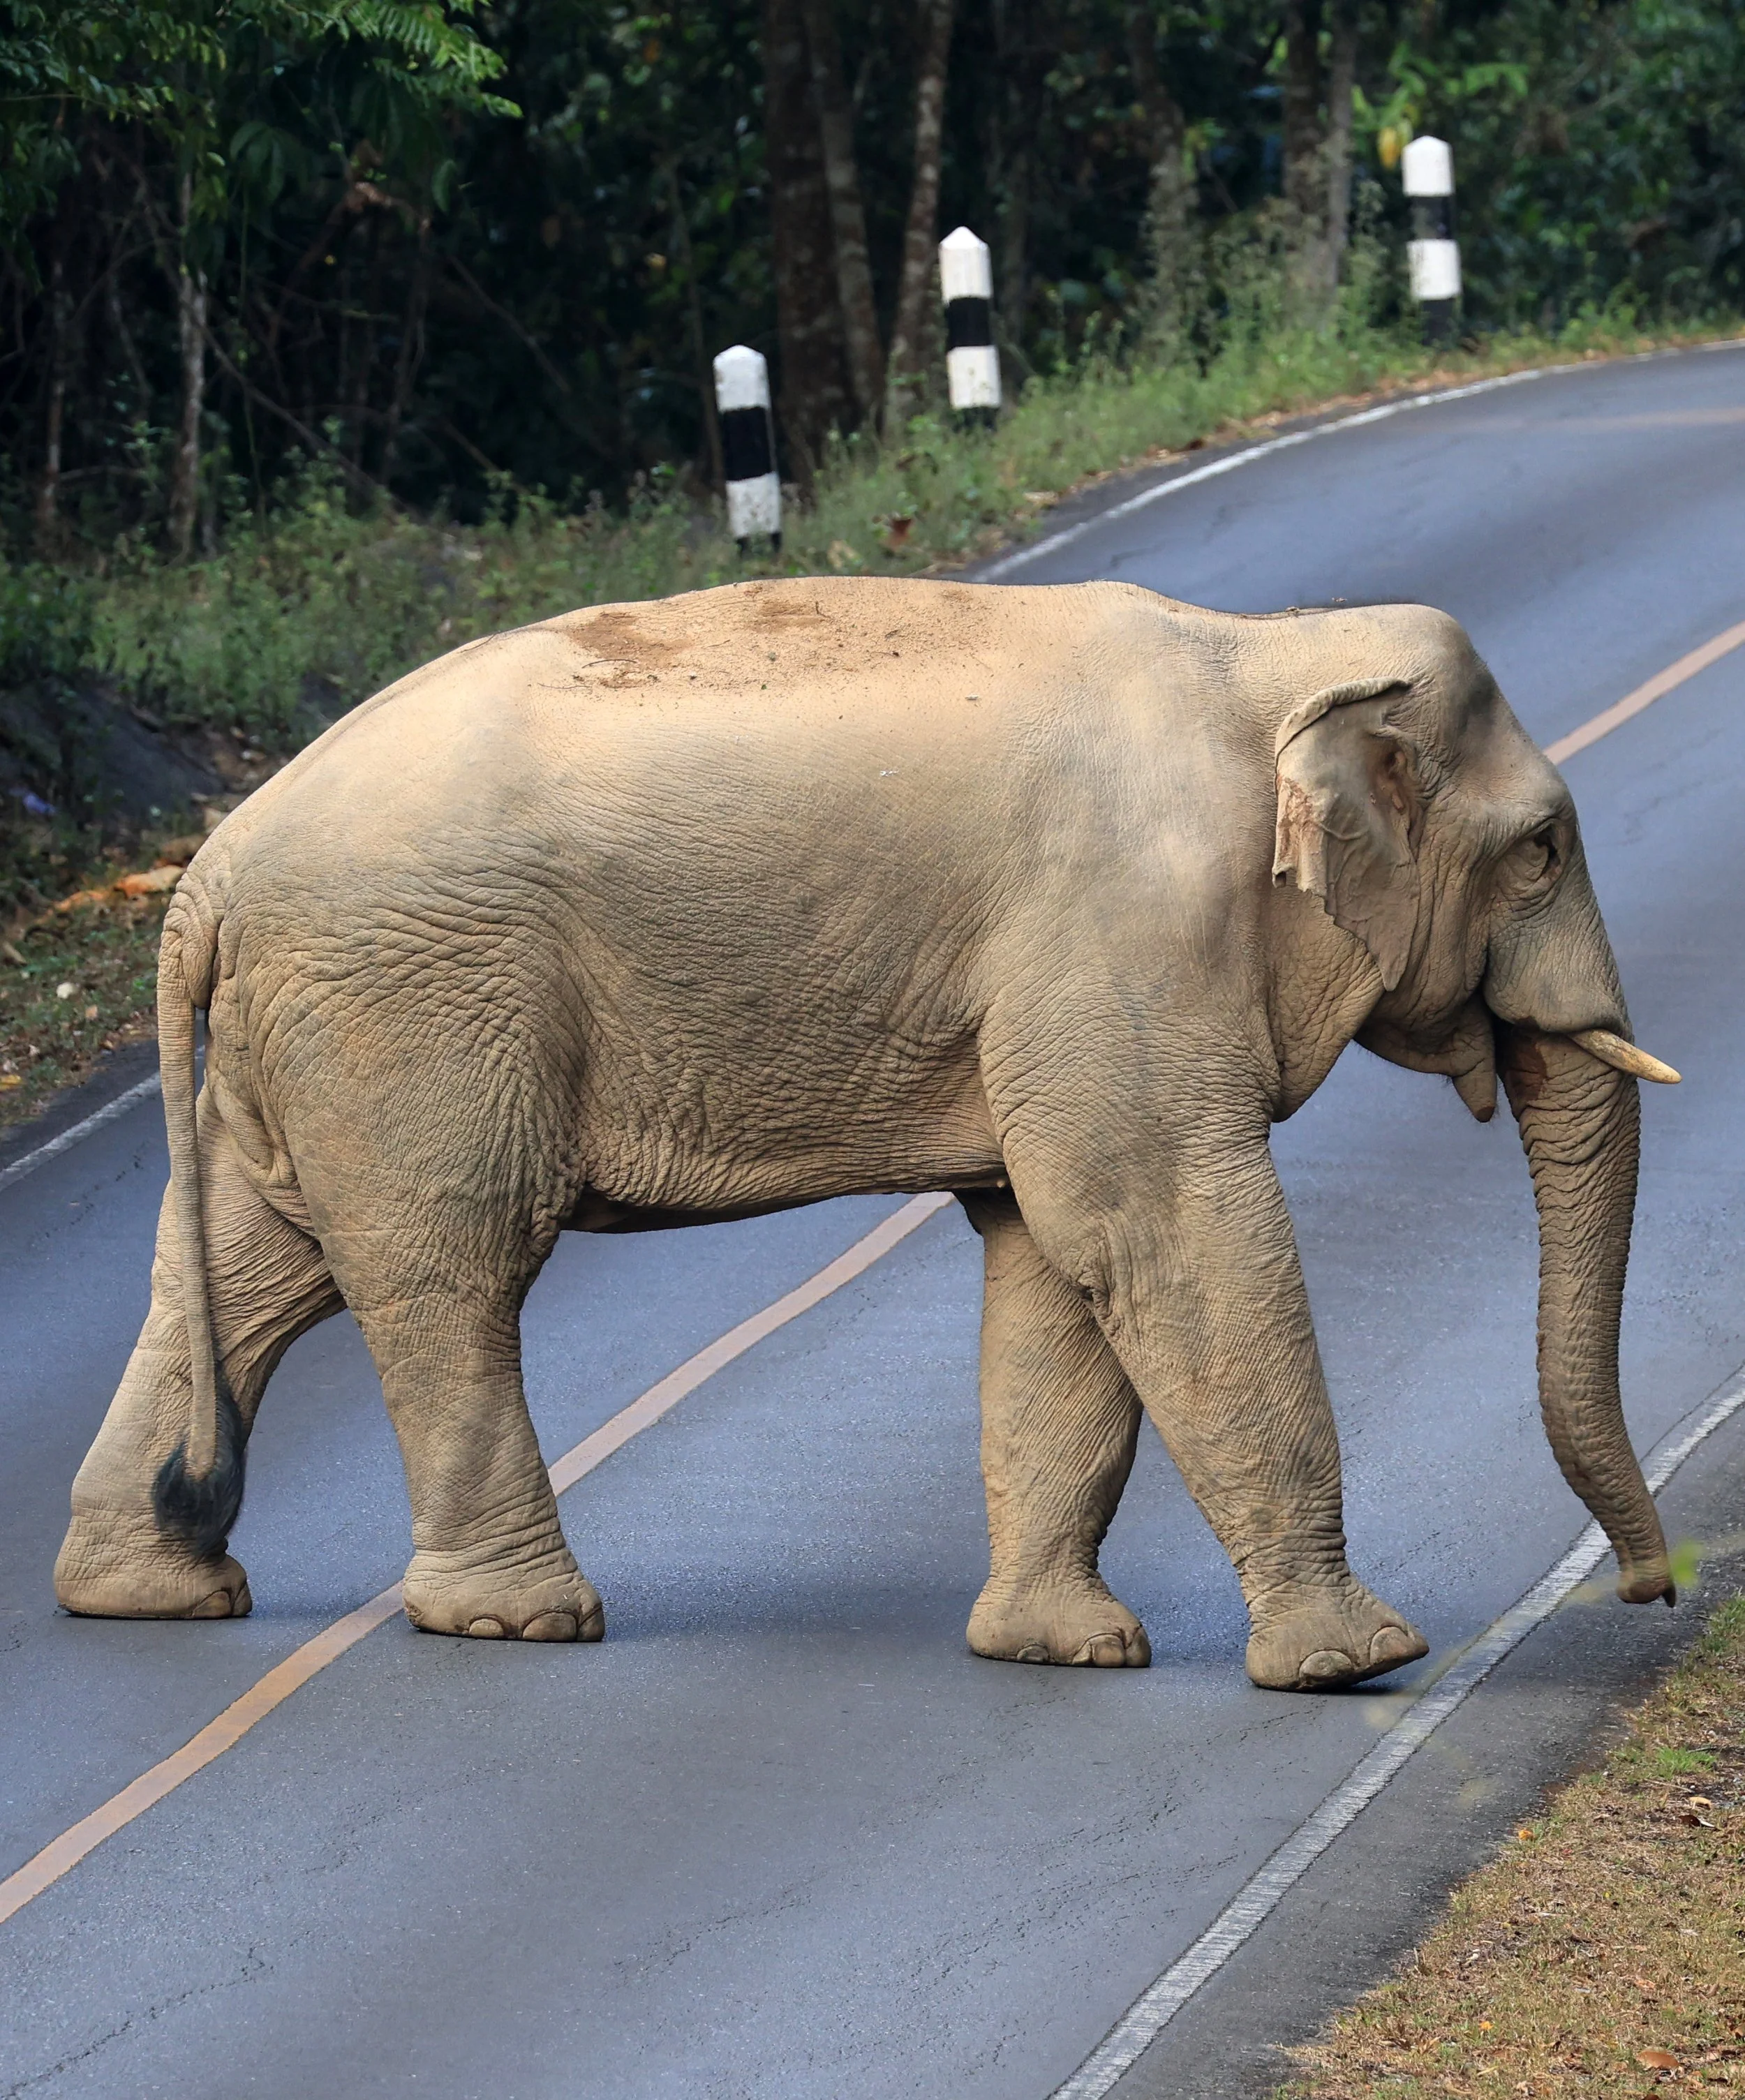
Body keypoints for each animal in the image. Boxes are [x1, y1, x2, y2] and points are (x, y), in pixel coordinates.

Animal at [53, 576, 1681, 1692]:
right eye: (1542, 848)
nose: (1650, 1591)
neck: (1268, 649)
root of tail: (208, 870)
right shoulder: (1114, 935)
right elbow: (1152, 1224)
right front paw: (1356, 1662)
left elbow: (1048, 1252)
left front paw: (1059, 1646)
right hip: (417, 1013)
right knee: (445, 1270)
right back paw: (522, 1616)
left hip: (314, 1036)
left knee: (250, 1267)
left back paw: (147, 1588)